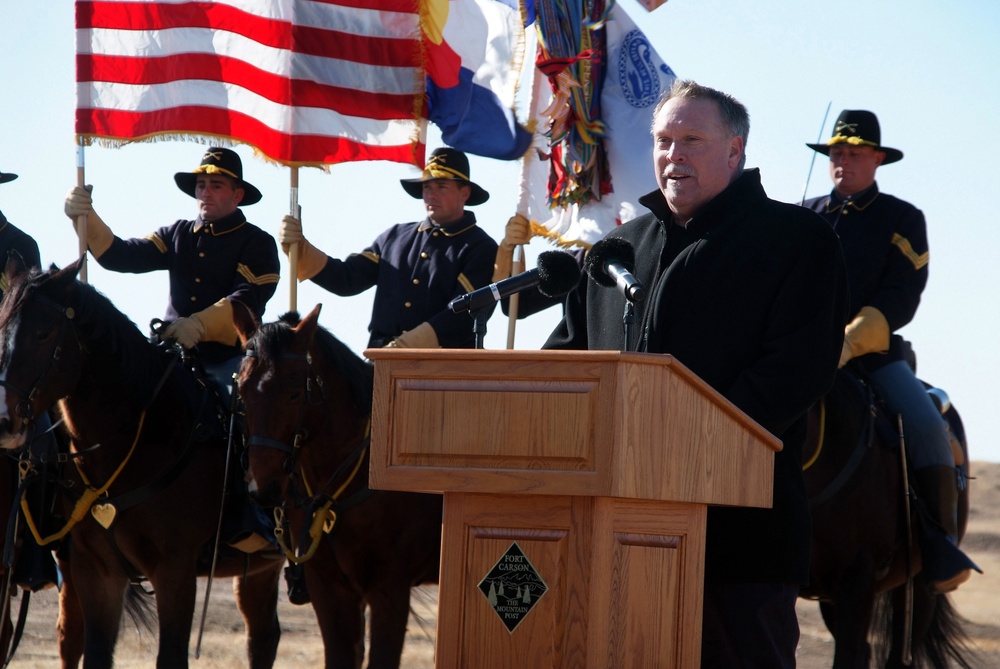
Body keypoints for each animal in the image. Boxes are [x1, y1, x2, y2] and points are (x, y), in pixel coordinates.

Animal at [0, 258, 284, 668]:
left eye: (43, 333)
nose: (4, 421)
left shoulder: (174, 570)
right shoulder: (96, 570)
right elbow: (95, 653)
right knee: (262, 637)